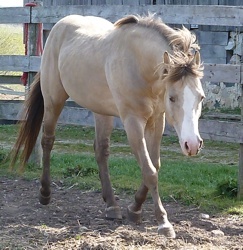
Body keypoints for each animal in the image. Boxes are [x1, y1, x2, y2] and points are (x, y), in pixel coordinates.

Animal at [11, 14, 205, 238]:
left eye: (201, 97)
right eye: (172, 98)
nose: (192, 144)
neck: (139, 64)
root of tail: (59, 26)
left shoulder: (157, 120)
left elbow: (154, 165)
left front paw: (134, 208)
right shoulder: (133, 122)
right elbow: (149, 170)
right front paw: (163, 222)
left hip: (101, 111)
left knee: (101, 151)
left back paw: (112, 205)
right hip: (53, 100)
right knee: (48, 142)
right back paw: (45, 193)